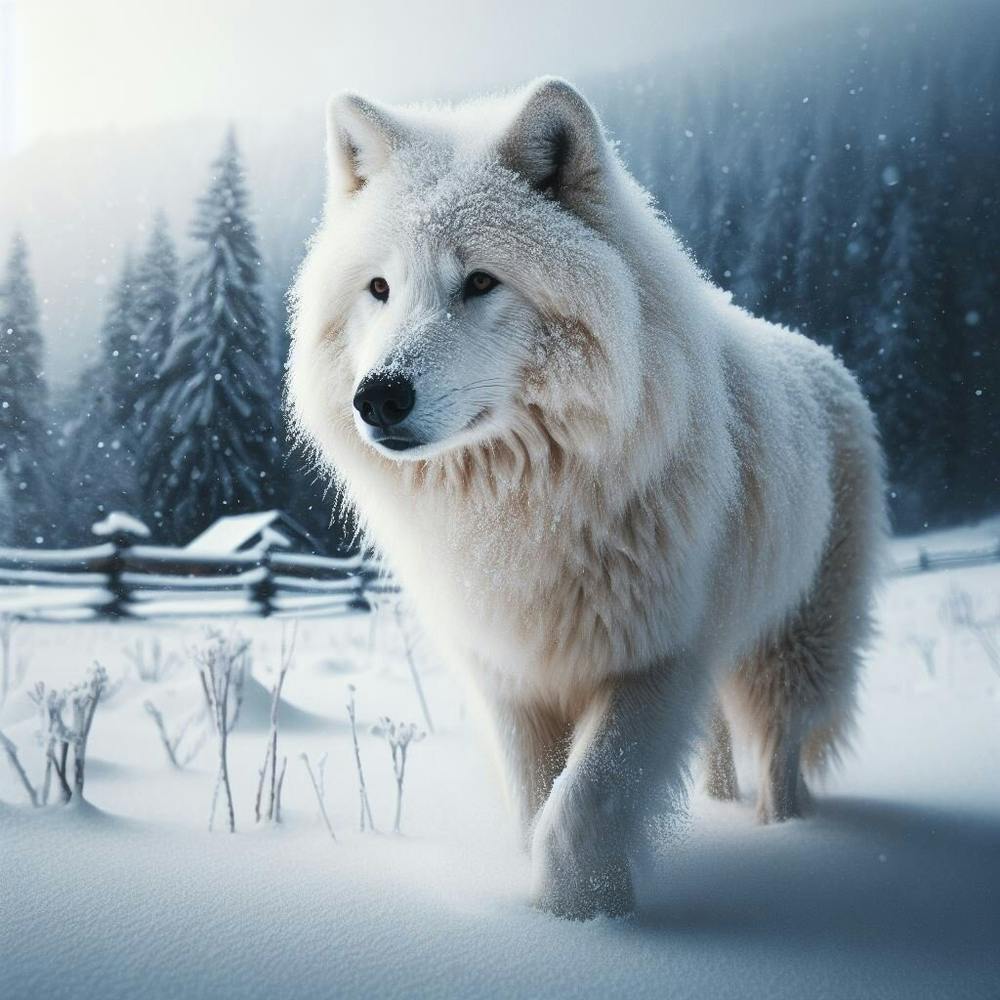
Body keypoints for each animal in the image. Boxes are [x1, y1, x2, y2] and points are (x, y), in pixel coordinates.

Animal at [288, 78, 885, 920]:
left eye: (480, 282)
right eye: (380, 289)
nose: (377, 397)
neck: (525, 505)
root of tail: (823, 356)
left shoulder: (654, 660)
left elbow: (583, 806)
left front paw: (582, 914)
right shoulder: (510, 680)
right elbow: (537, 803)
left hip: (795, 647)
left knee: (781, 750)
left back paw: (786, 833)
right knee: (721, 747)